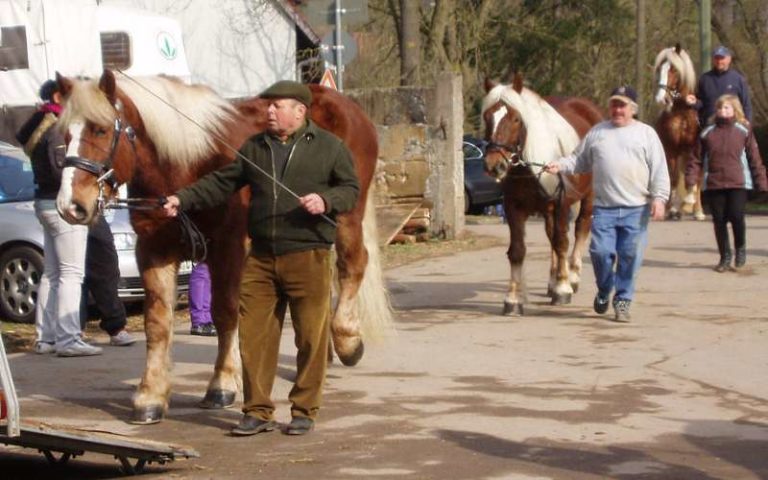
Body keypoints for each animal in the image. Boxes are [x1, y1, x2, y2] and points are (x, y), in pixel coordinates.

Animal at [54, 71, 392, 424]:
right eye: (65, 133)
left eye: (101, 129)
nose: (71, 206)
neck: (188, 165)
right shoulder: (154, 251)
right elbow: (157, 323)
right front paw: (150, 396)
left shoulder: (227, 250)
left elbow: (226, 312)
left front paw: (222, 384)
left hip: (345, 215)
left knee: (353, 265)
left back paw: (348, 341)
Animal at [484, 74, 604, 316]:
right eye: (487, 117)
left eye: (516, 119)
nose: (494, 165)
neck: (529, 169)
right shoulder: (513, 209)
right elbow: (517, 251)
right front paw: (513, 299)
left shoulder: (560, 203)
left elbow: (562, 243)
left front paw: (563, 288)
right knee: (552, 236)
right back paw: (553, 280)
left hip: (588, 198)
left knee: (580, 229)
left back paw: (572, 276)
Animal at [656, 44, 704, 220]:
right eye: (659, 69)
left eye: (674, 70)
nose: (661, 99)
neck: (682, 111)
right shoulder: (671, 150)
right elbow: (674, 177)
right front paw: (672, 210)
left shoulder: (693, 149)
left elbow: (694, 176)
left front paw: (690, 205)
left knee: (698, 178)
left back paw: (697, 210)